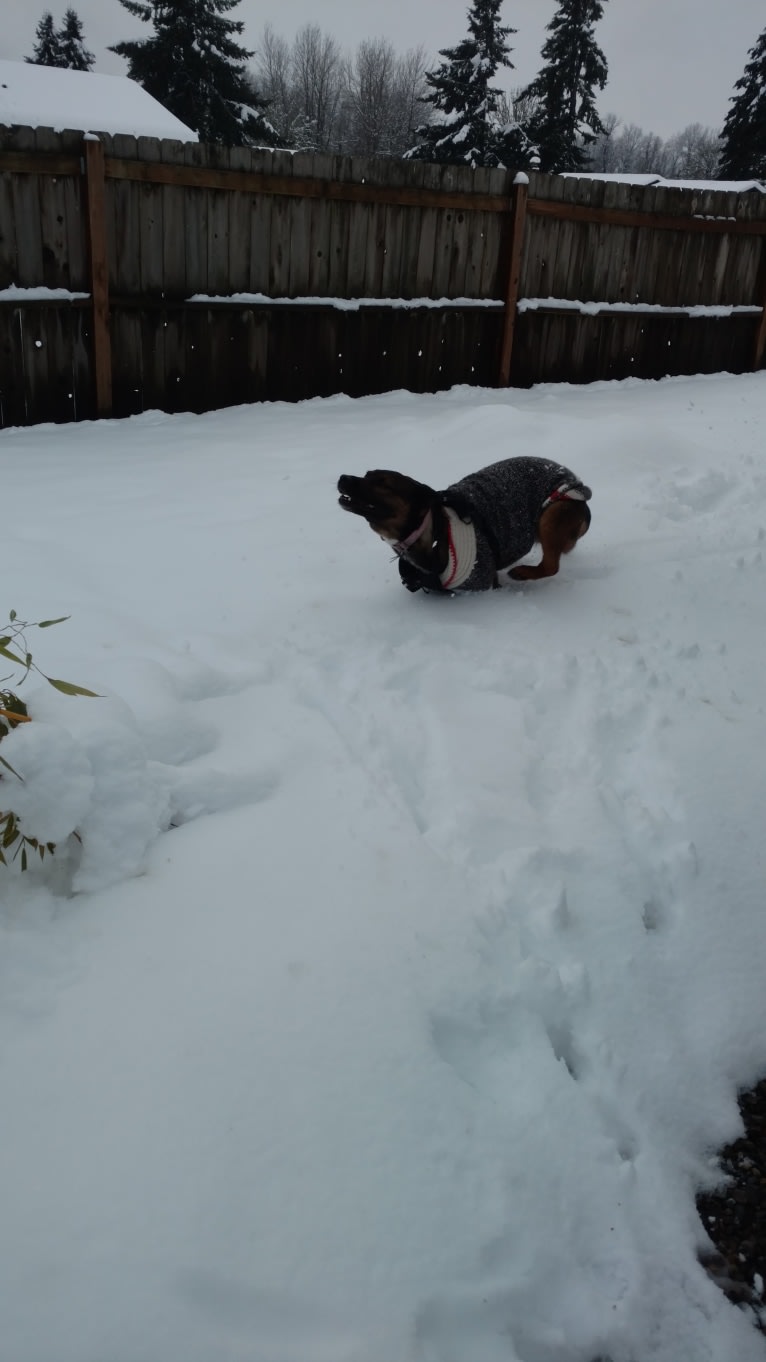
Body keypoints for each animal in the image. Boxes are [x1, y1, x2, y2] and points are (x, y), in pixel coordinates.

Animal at [333, 454, 591, 593]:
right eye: (367, 474)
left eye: (383, 483)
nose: (342, 477)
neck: (432, 531)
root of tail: (577, 483)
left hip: (553, 512)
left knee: (551, 565)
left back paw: (523, 572)